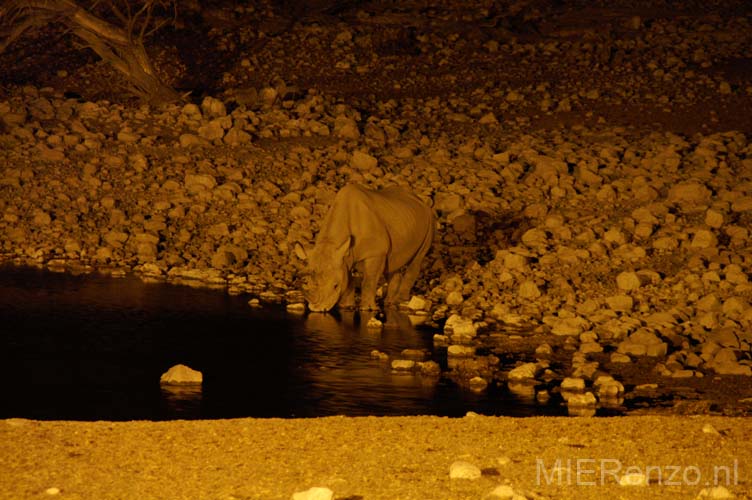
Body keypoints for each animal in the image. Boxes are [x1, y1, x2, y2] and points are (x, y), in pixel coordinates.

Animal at [304, 184, 434, 310]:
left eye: (335, 286)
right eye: (308, 284)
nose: (317, 309)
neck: (331, 242)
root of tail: (419, 199)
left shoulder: (375, 253)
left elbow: (369, 280)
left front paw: (368, 308)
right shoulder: (344, 256)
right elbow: (348, 279)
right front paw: (346, 306)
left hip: (429, 218)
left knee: (417, 259)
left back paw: (401, 300)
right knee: (393, 264)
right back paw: (389, 302)